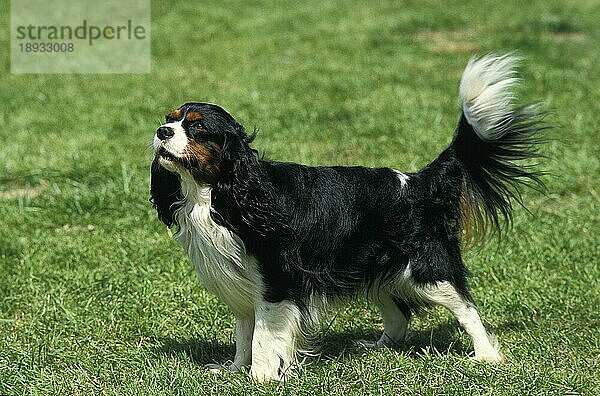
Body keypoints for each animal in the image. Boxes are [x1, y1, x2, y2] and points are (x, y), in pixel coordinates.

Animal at [149, 54, 544, 382]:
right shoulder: (243, 284)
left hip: (427, 270)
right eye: (170, 119)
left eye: (198, 128)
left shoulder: (276, 281)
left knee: (466, 308)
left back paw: (487, 356)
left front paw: (260, 377)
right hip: (375, 267)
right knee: (397, 313)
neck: (219, 194)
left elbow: (263, 336)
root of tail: (417, 182)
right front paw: (234, 369)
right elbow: (244, 332)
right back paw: (379, 347)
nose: (161, 131)